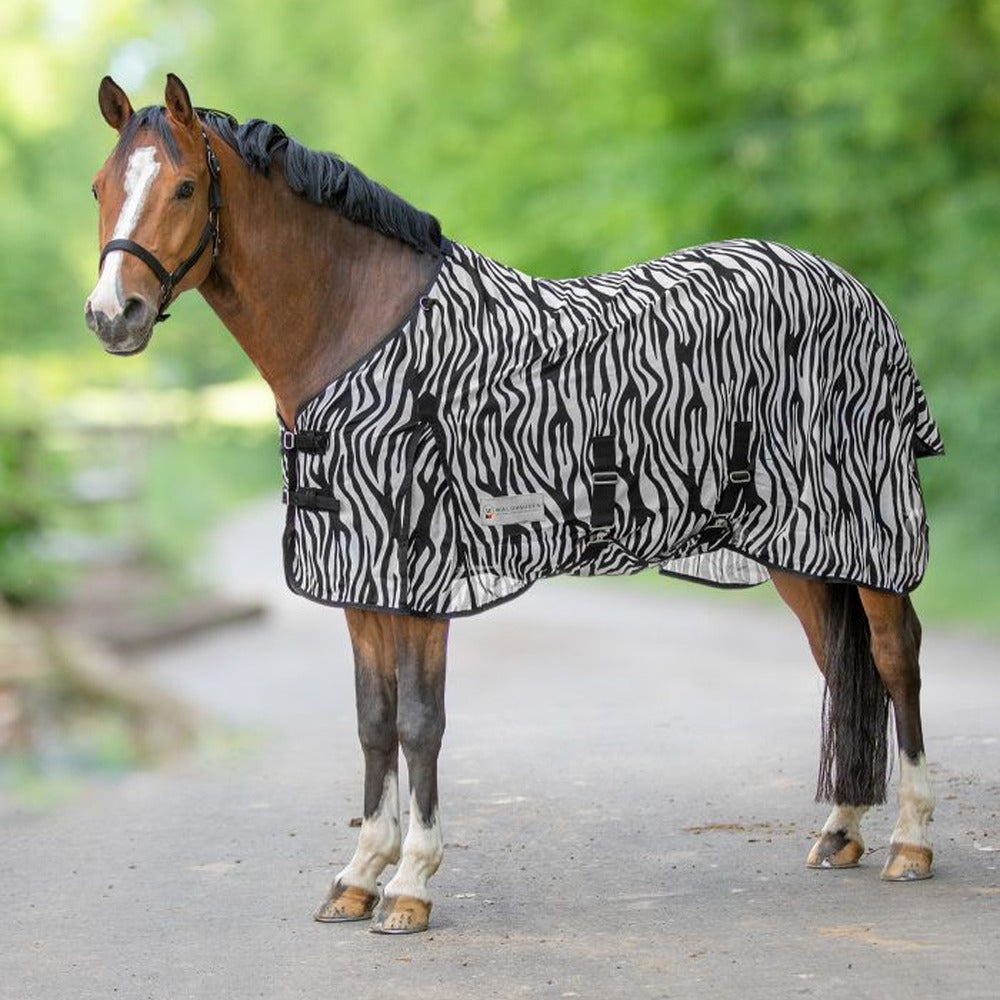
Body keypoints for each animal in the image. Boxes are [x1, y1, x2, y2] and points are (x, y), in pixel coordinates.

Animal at [85, 74, 942, 935]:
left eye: (185, 186)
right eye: (99, 187)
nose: (112, 315)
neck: (359, 332)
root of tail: (855, 289)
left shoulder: (420, 576)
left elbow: (419, 724)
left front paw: (411, 884)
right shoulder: (361, 577)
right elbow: (372, 721)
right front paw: (359, 876)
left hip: (870, 530)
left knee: (894, 658)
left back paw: (910, 843)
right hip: (801, 548)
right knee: (839, 663)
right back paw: (840, 831)